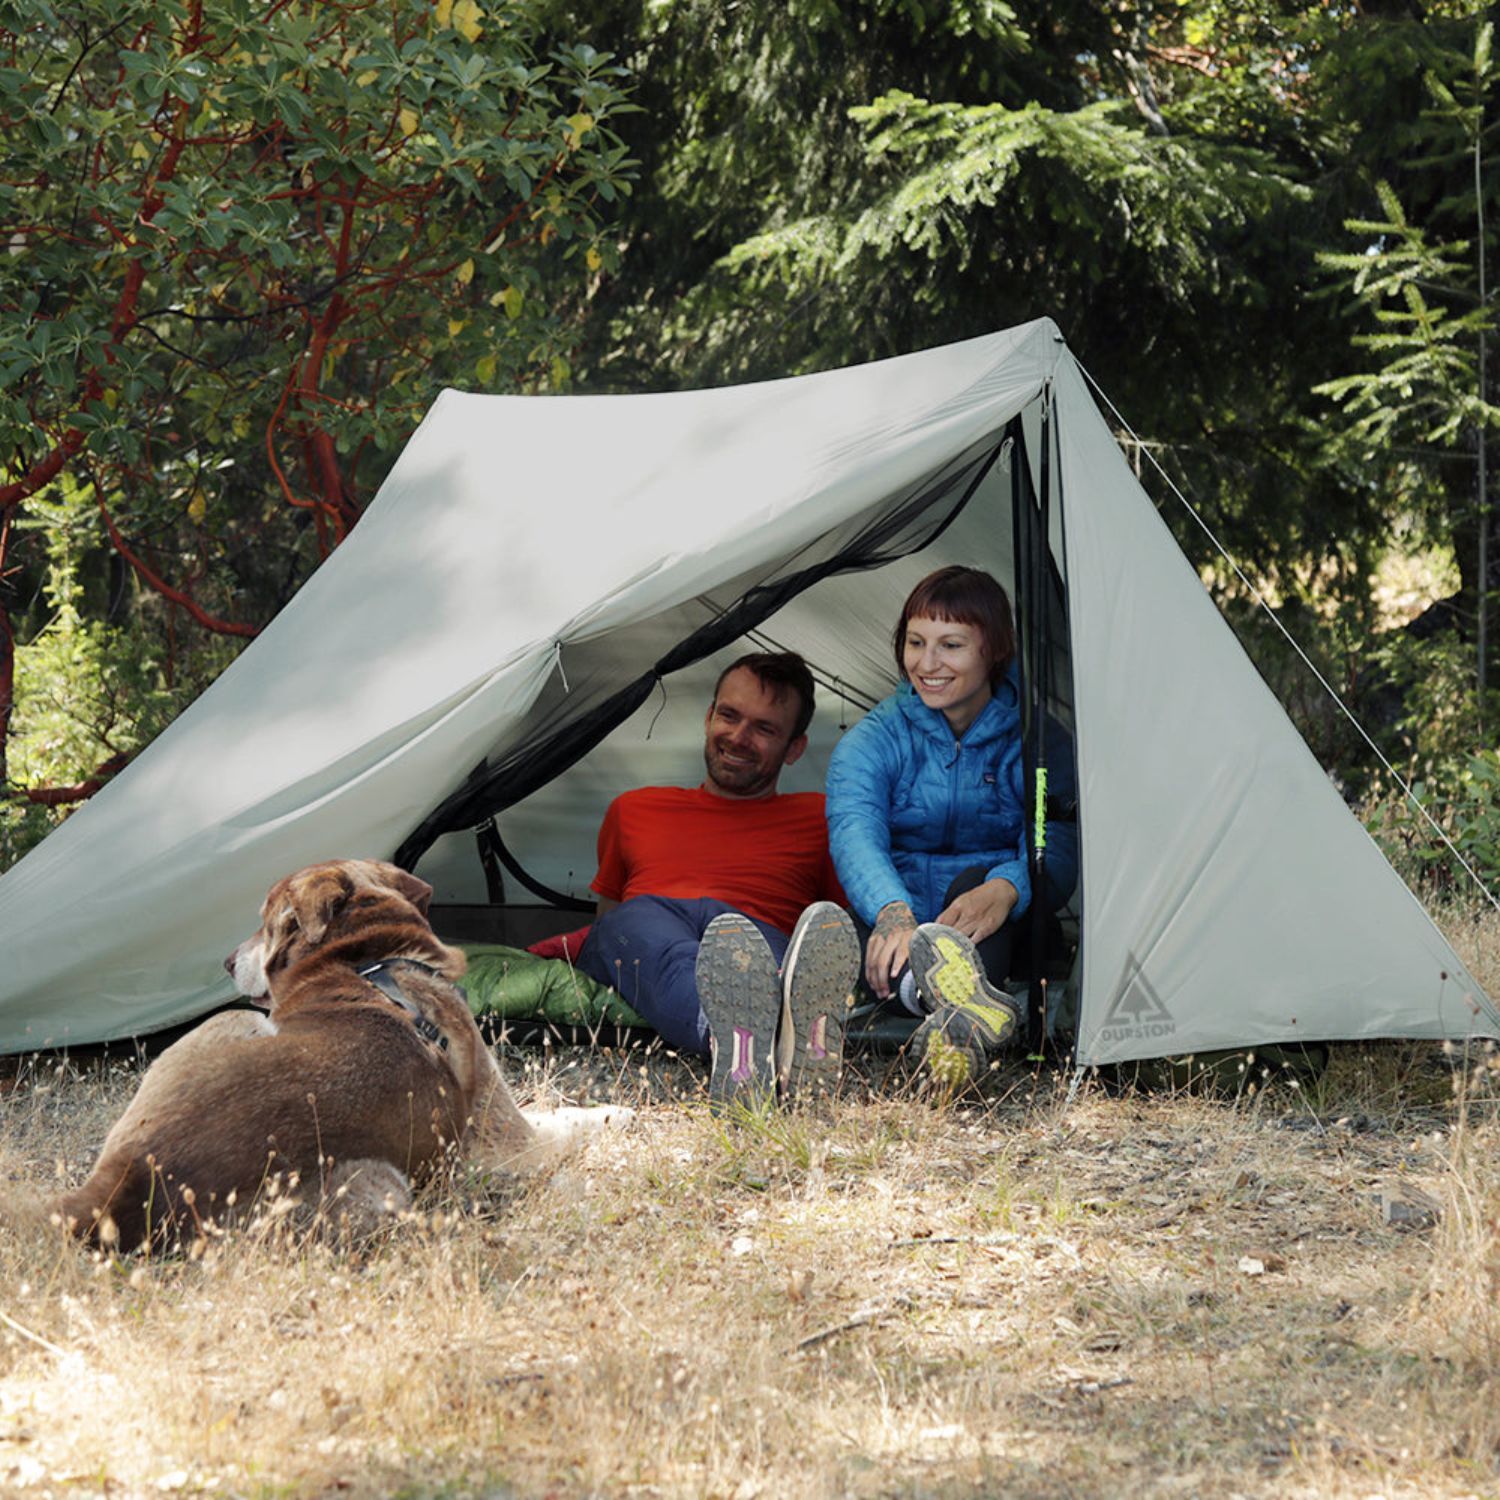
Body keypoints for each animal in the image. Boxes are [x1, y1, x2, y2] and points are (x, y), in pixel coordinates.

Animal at [51, 864, 615, 1248]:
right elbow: (565, 1120)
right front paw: (615, 1113)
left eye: (268, 924)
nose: (227, 961)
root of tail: (125, 1183)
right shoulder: (508, 1139)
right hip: (244, 1030)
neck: (365, 960)